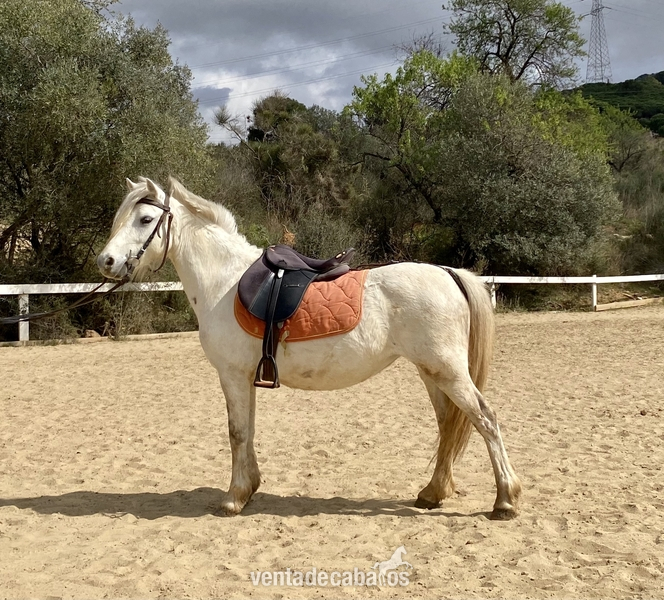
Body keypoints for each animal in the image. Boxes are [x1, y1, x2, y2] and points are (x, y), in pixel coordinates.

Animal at [97, 176, 521, 519]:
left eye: (145, 220)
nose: (106, 261)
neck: (225, 282)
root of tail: (449, 273)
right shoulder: (245, 377)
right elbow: (248, 430)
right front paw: (249, 488)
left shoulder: (232, 375)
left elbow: (236, 432)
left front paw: (233, 499)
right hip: (432, 373)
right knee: (449, 425)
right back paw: (433, 493)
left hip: (447, 372)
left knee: (486, 419)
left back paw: (505, 500)